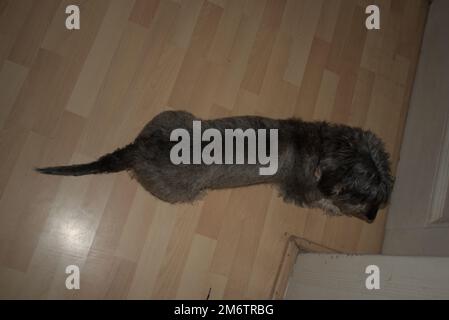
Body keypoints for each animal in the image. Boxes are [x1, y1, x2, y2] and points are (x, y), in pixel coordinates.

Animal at [36, 111, 392, 224]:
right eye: (362, 196)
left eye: (382, 195)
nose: (374, 218)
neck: (321, 148)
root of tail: (139, 148)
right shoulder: (300, 190)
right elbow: (321, 199)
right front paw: (334, 208)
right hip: (184, 190)